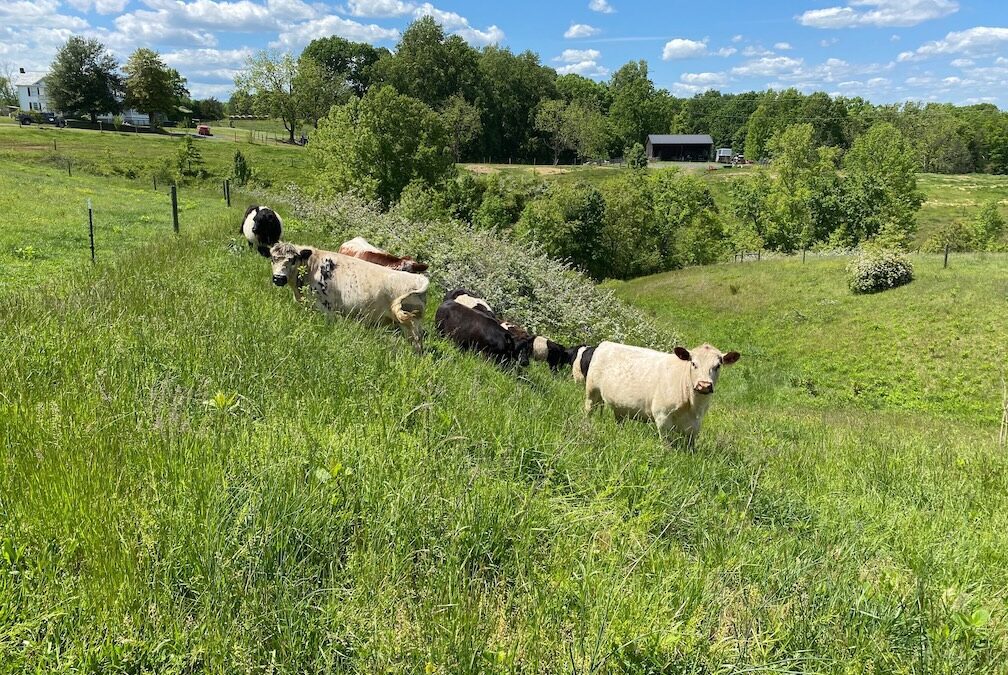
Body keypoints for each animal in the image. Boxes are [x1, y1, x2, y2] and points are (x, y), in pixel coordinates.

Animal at [269, 242, 429, 351]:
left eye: (293, 259)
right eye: (273, 258)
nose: (278, 278)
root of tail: (419, 278)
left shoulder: (326, 309)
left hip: (413, 325)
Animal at [584, 341, 740, 444]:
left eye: (717, 366)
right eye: (693, 363)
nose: (704, 385)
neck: (693, 405)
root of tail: (605, 343)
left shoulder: (695, 424)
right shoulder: (662, 416)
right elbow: (666, 445)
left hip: (619, 405)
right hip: (592, 392)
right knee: (589, 410)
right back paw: (586, 427)